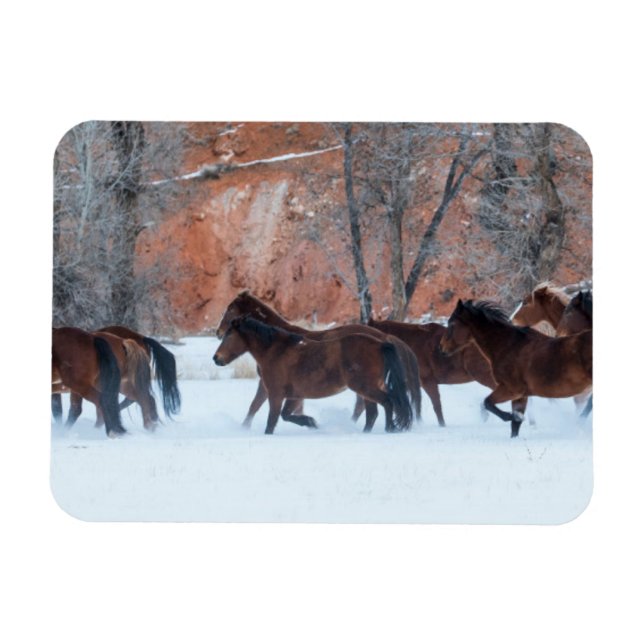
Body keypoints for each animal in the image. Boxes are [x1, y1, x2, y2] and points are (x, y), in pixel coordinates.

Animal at [215, 291, 421, 427]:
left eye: (230, 309)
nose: (218, 332)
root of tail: (383, 338)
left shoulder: (269, 385)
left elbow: (256, 406)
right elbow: (262, 406)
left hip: (362, 384)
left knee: (369, 406)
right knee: (369, 407)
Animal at [440, 300, 592, 437]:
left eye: (452, 324)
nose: (442, 349)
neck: (510, 346)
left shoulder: (511, 390)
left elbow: (487, 403)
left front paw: (508, 416)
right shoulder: (521, 395)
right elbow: (515, 425)